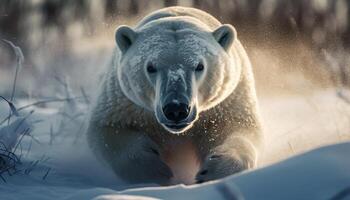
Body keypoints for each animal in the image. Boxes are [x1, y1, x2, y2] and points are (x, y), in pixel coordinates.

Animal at [87, 5, 262, 184]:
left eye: (200, 66)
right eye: (150, 67)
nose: (176, 109)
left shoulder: (225, 102)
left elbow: (238, 127)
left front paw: (212, 172)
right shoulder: (126, 103)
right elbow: (108, 129)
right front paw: (156, 170)